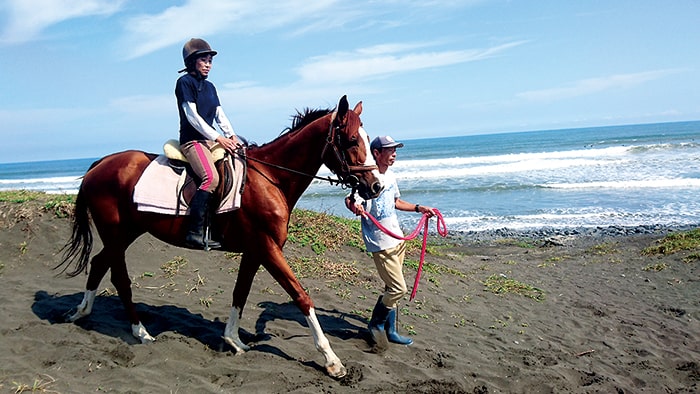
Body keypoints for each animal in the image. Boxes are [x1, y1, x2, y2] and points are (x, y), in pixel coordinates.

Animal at [56, 95, 382, 378]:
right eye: (352, 140)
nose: (375, 186)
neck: (270, 179)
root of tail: (99, 165)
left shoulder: (255, 250)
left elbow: (240, 293)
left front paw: (233, 340)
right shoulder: (268, 248)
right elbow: (301, 296)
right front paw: (332, 361)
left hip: (127, 233)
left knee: (100, 264)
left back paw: (82, 312)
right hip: (116, 233)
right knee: (118, 276)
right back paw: (140, 332)